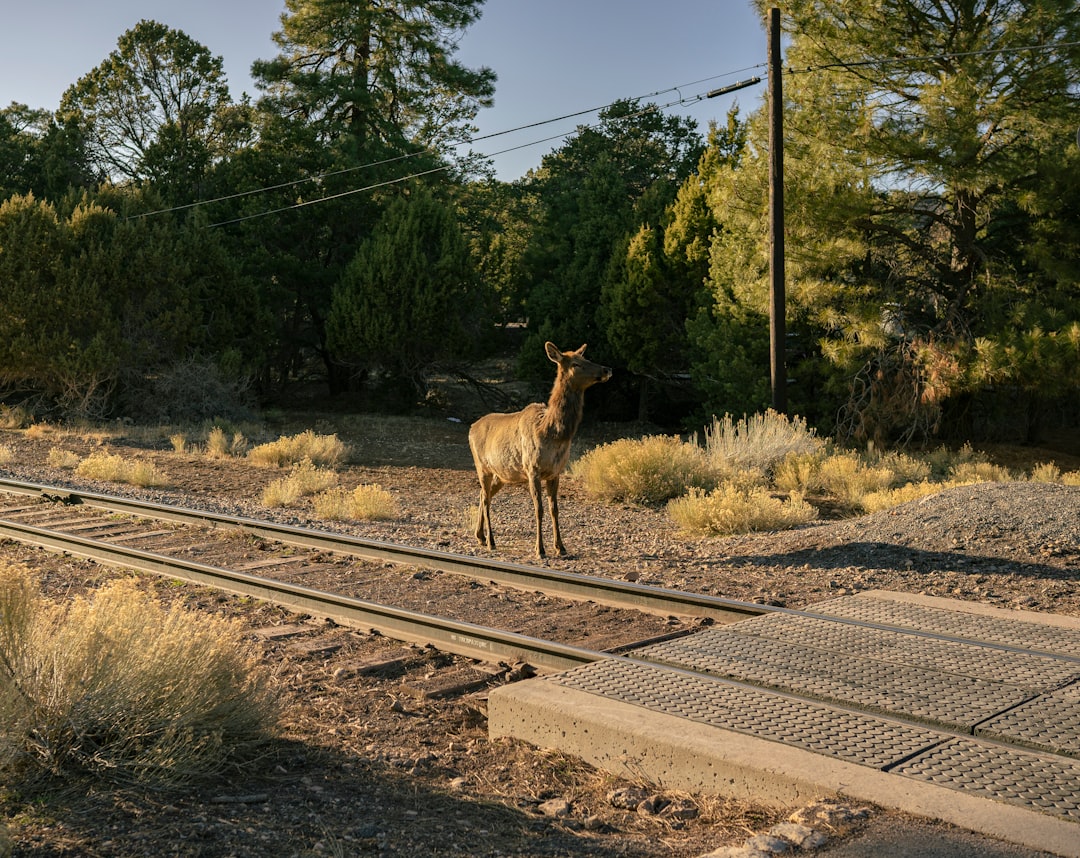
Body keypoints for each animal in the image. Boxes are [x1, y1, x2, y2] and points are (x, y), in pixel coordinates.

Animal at [468, 341, 613, 553]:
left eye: (586, 358)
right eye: (576, 364)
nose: (607, 369)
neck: (551, 432)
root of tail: (471, 428)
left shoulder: (555, 471)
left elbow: (555, 509)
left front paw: (560, 547)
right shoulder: (532, 469)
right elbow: (539, 509)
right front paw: (540, 549)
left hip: (502, 474)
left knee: (482, 495)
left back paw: (479, 536)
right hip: (482, 466)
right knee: (486, 499)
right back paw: (490, 541)